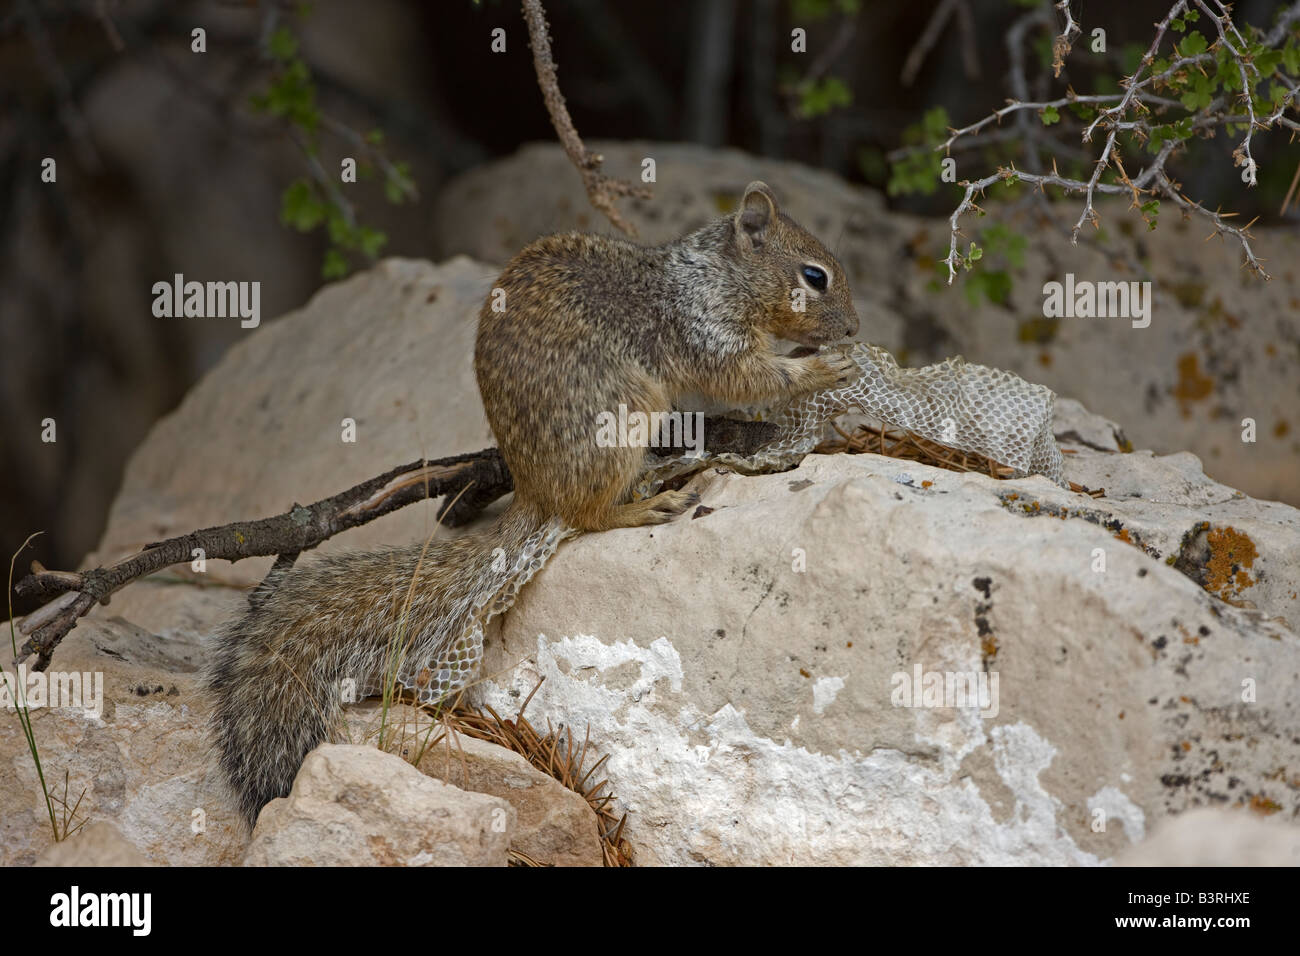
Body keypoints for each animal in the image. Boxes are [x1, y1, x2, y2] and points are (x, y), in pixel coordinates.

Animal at [206, 181, 860, 827]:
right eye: (815, 276)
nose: (855, 329)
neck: (715, 277)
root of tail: (534, 492)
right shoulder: (706, 333)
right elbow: (748, 377)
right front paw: (823, 368)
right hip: (621, 415)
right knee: (588, 516)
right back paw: (644, 503)